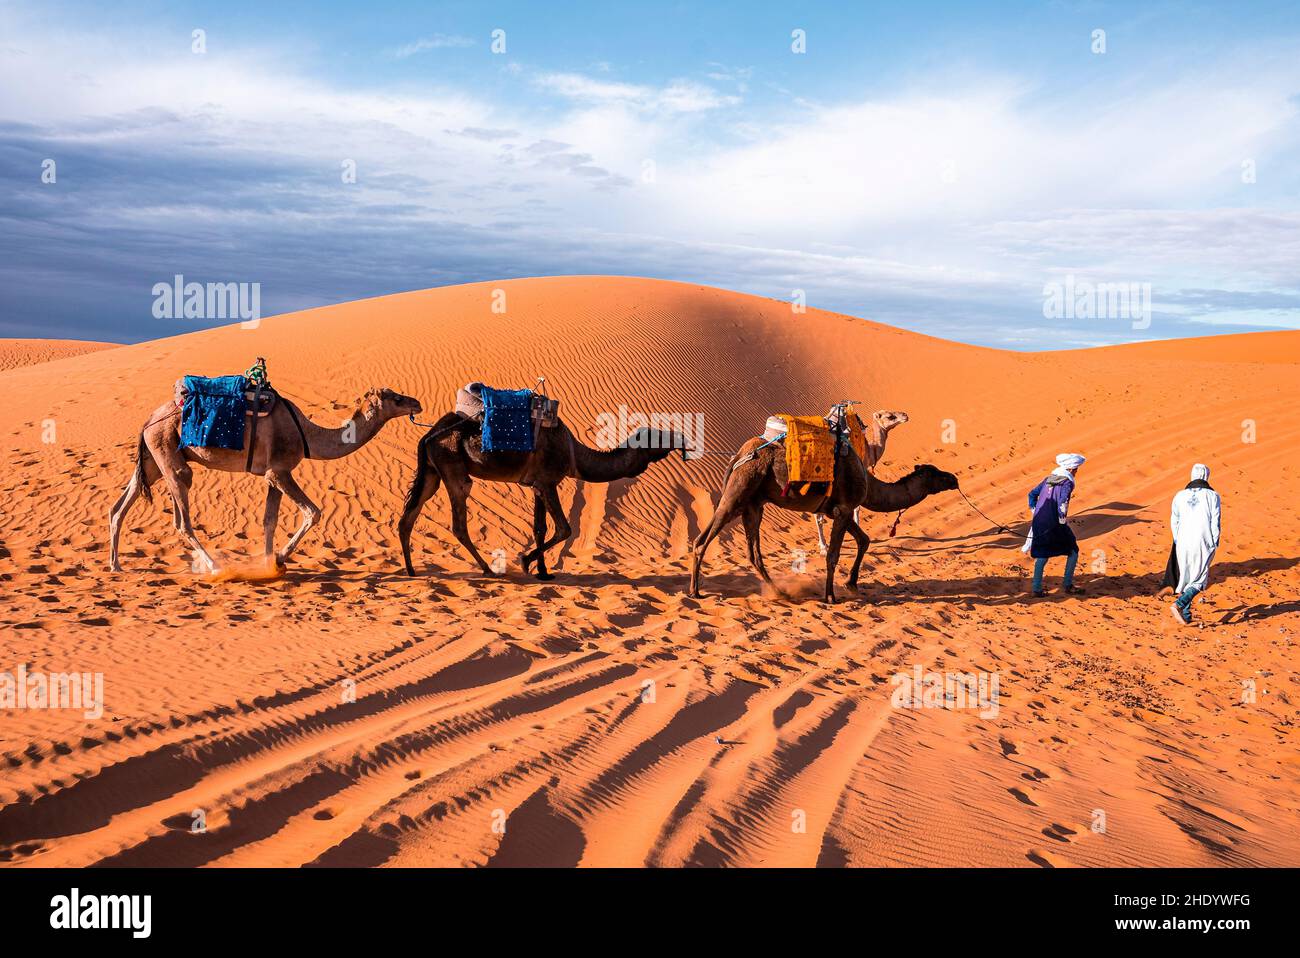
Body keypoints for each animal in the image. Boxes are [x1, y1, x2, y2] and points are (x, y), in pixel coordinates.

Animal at [109, 386, 423, 572]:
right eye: (396, 398)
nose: (417, 403)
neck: (307, 435)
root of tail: (148, 420)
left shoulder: (273, 476)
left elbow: (269, 521)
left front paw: (268, 565)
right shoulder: (280, 470)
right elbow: (313, 512)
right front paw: (280, 559)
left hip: (152, 459)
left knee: (119, 507)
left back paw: (115, 565)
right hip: (168, 454)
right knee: (182, 519)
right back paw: (214, 567)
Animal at [399, 414, 689, 580]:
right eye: (657, 437)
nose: (681, 439)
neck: (573, 454)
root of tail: (428, 435)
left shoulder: (537, 484)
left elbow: (540, 527)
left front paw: (543, 572)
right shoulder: (549, 481)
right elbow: (564, 528)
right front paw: (526, 561)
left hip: (432, 471)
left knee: (408, 518)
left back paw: (411, 571)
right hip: (453, 467)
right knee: (458, 521)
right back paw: (488, 569)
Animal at [689, 426, 957, 602]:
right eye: (936, 474)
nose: (954, 478)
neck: (868, 483)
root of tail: (739, 456)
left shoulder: (837, 511)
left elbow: (864, 540)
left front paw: (851, 584)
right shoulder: (844, 509)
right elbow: (833, 555)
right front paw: (831, 596)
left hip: (752, 504)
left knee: (750, 552)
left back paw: (780, 592)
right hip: (739, 491)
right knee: (702, 541)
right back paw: (696, 592)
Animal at [814, 408, 909, 552]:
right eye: (890, 416)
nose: (905, 415)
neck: (870, 450)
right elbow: (857, 507)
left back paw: (823, 545)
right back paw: (824, 547)